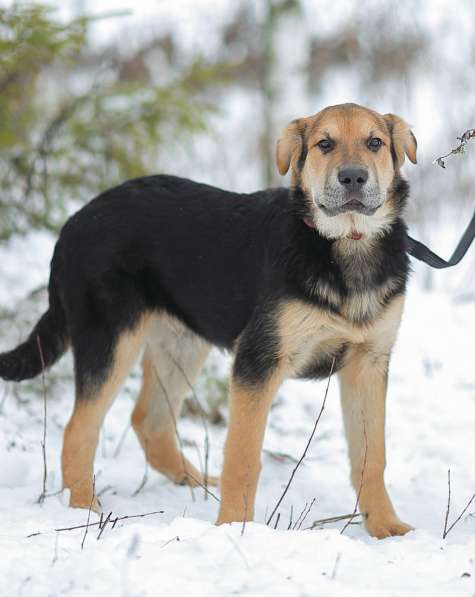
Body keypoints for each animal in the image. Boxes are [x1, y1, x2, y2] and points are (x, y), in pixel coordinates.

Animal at [0, 103, 416, 540]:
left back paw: (194, 483)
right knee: (79, 430)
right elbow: (242, 457)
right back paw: (84, 512)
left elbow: (372, 455)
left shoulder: (368, 363)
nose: (353, 177)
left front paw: (386, 527)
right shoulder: (258, 362)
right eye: (325, 144)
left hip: (181, 343)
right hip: (111, 339)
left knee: (149, 421)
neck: (346, 245)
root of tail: (73, 222)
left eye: (375, 142)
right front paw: (235, 528)